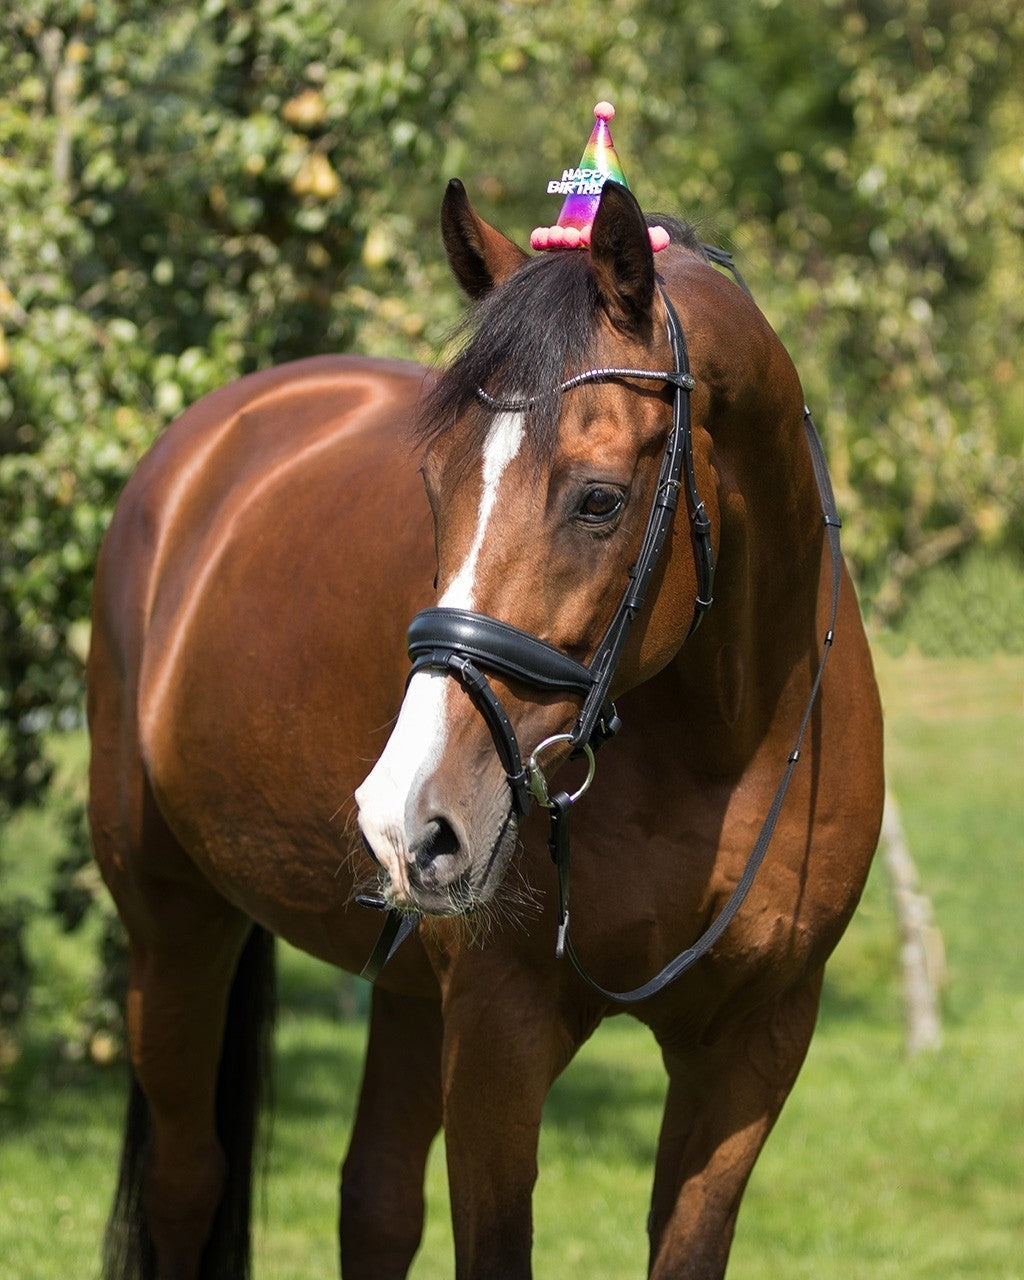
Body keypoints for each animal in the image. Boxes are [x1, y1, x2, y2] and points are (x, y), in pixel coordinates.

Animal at [87, 176, 884, 1280]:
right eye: (434, 486)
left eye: (599, 499)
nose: (406, 816)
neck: (723, 748)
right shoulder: (501, 1033)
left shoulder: (753, 1046)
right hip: (173, 921)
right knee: (188, 1178)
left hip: (405, 981)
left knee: (374, 1201)